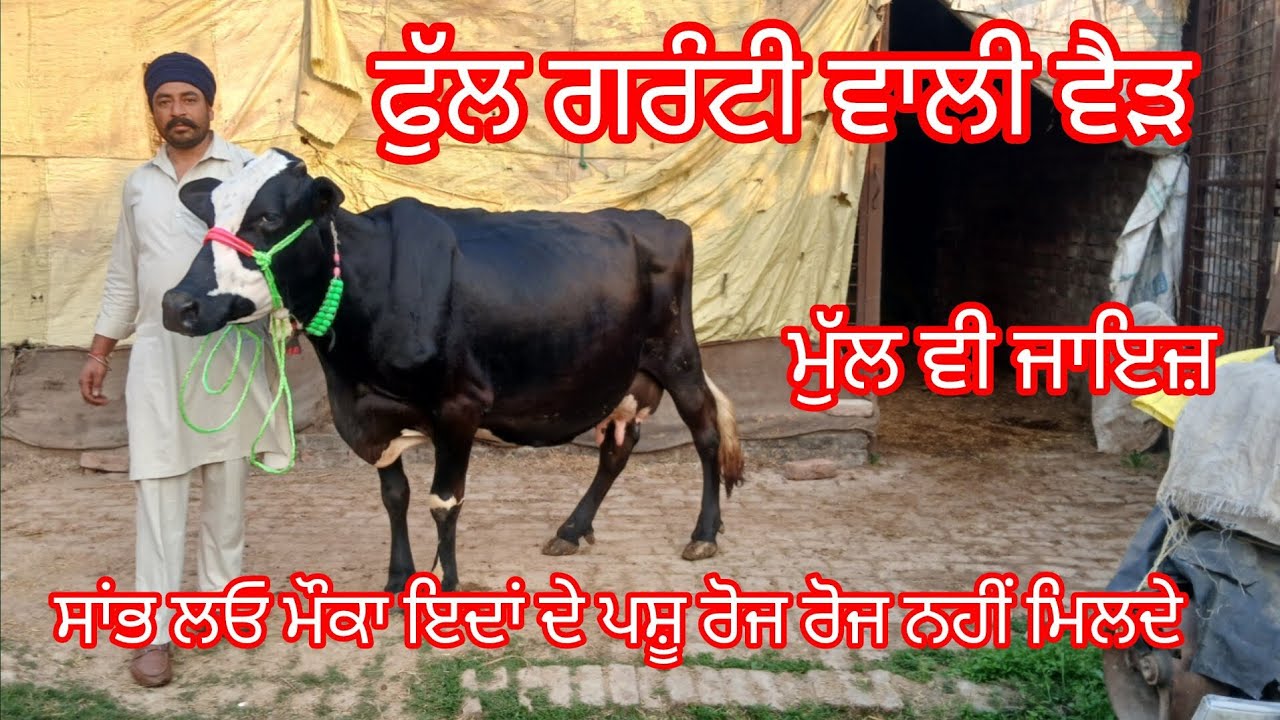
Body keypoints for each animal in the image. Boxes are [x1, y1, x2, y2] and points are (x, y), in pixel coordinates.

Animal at [160, 148, 745, 594]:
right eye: (208, 218)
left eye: (268, 219)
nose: (177, 305)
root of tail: (655, 218)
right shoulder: (373, 413)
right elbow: (395, 497)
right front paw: (398, 580)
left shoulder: (459, 405)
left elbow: (444, 501)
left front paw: (446, 581)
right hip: (623, 376)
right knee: (617, 450)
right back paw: (573, 529)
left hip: (677, 354)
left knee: (706, 434)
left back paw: (705, 534)